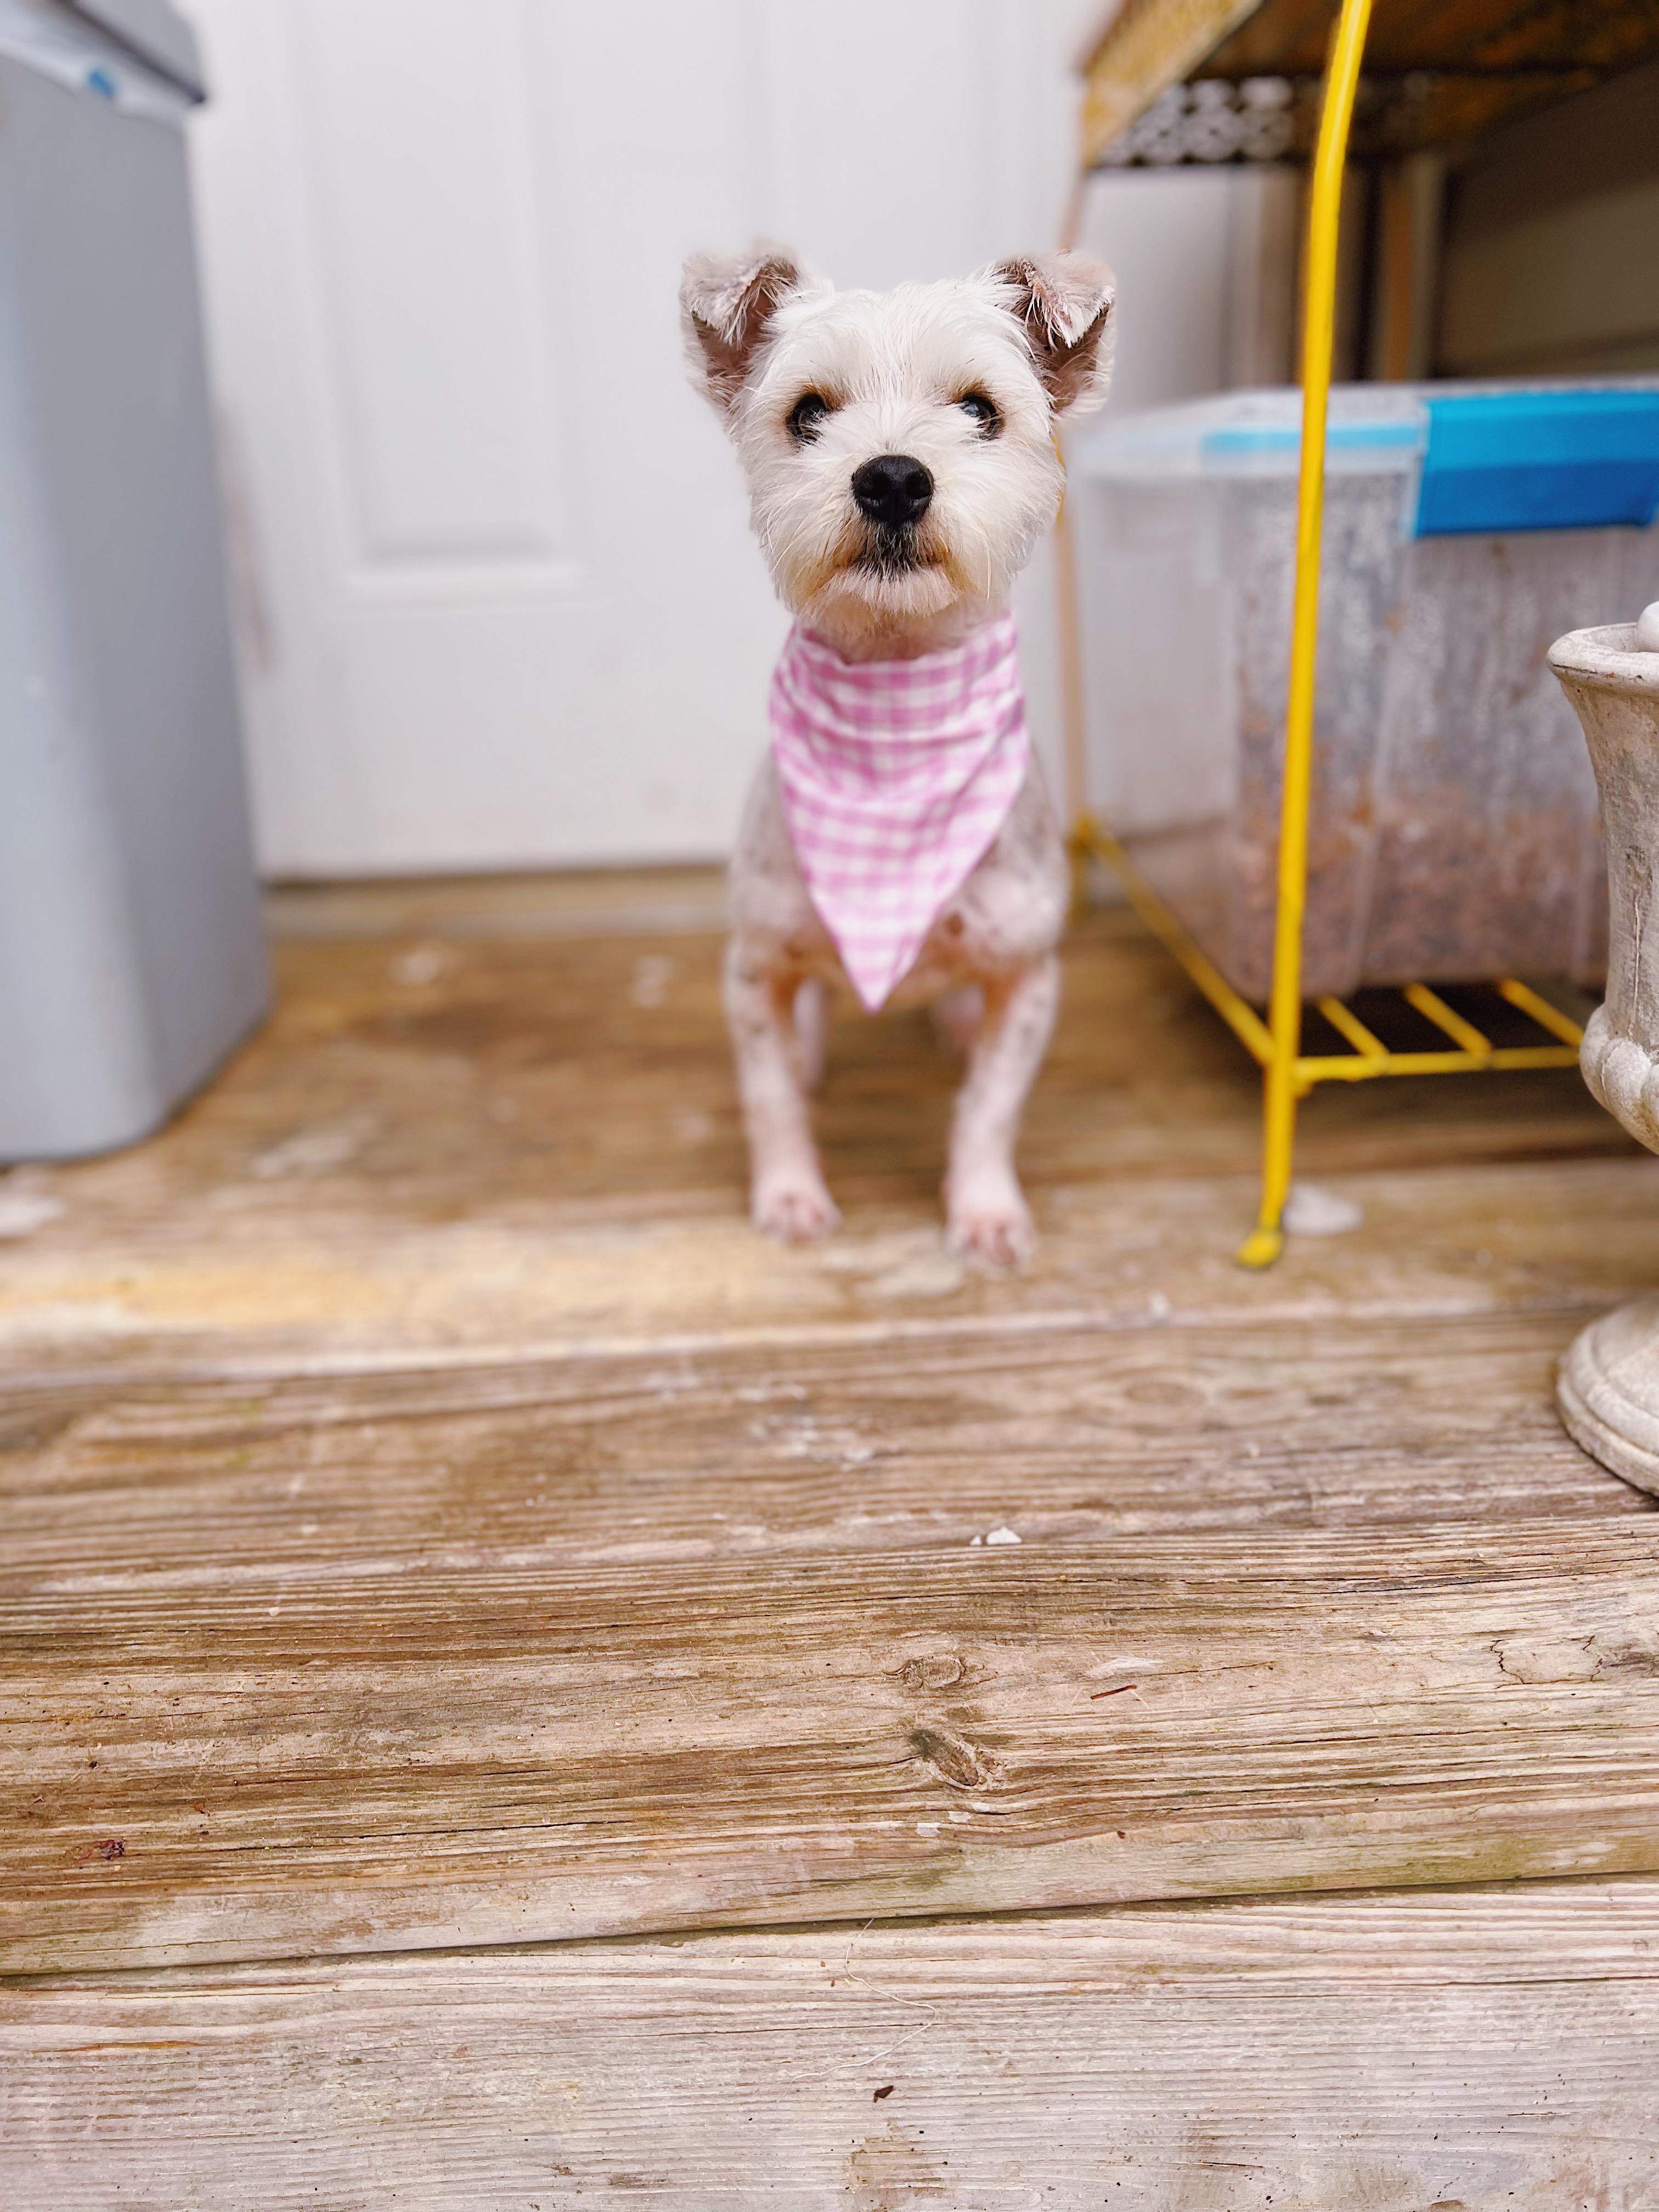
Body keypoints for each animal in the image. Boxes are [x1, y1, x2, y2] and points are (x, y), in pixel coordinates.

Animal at [680, 247, 1115, 1266]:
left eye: (980, 410)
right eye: (806, 412)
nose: (889, 479)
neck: (892, 720)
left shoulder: (1027, 981)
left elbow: (989, 1109)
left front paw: (985, 1211)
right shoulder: (753, 969)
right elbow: (769, 1099)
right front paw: (791, 1196)